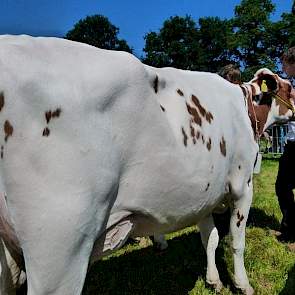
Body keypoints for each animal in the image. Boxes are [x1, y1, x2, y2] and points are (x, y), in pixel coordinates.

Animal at [0, 35, 294, 295]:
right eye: (289, 87)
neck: (243, 109)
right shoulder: (242, 186)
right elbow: (236, 242)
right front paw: (243, 284)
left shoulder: (205, 194)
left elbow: (209, 239)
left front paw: (213, 280)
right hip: (61, 244)